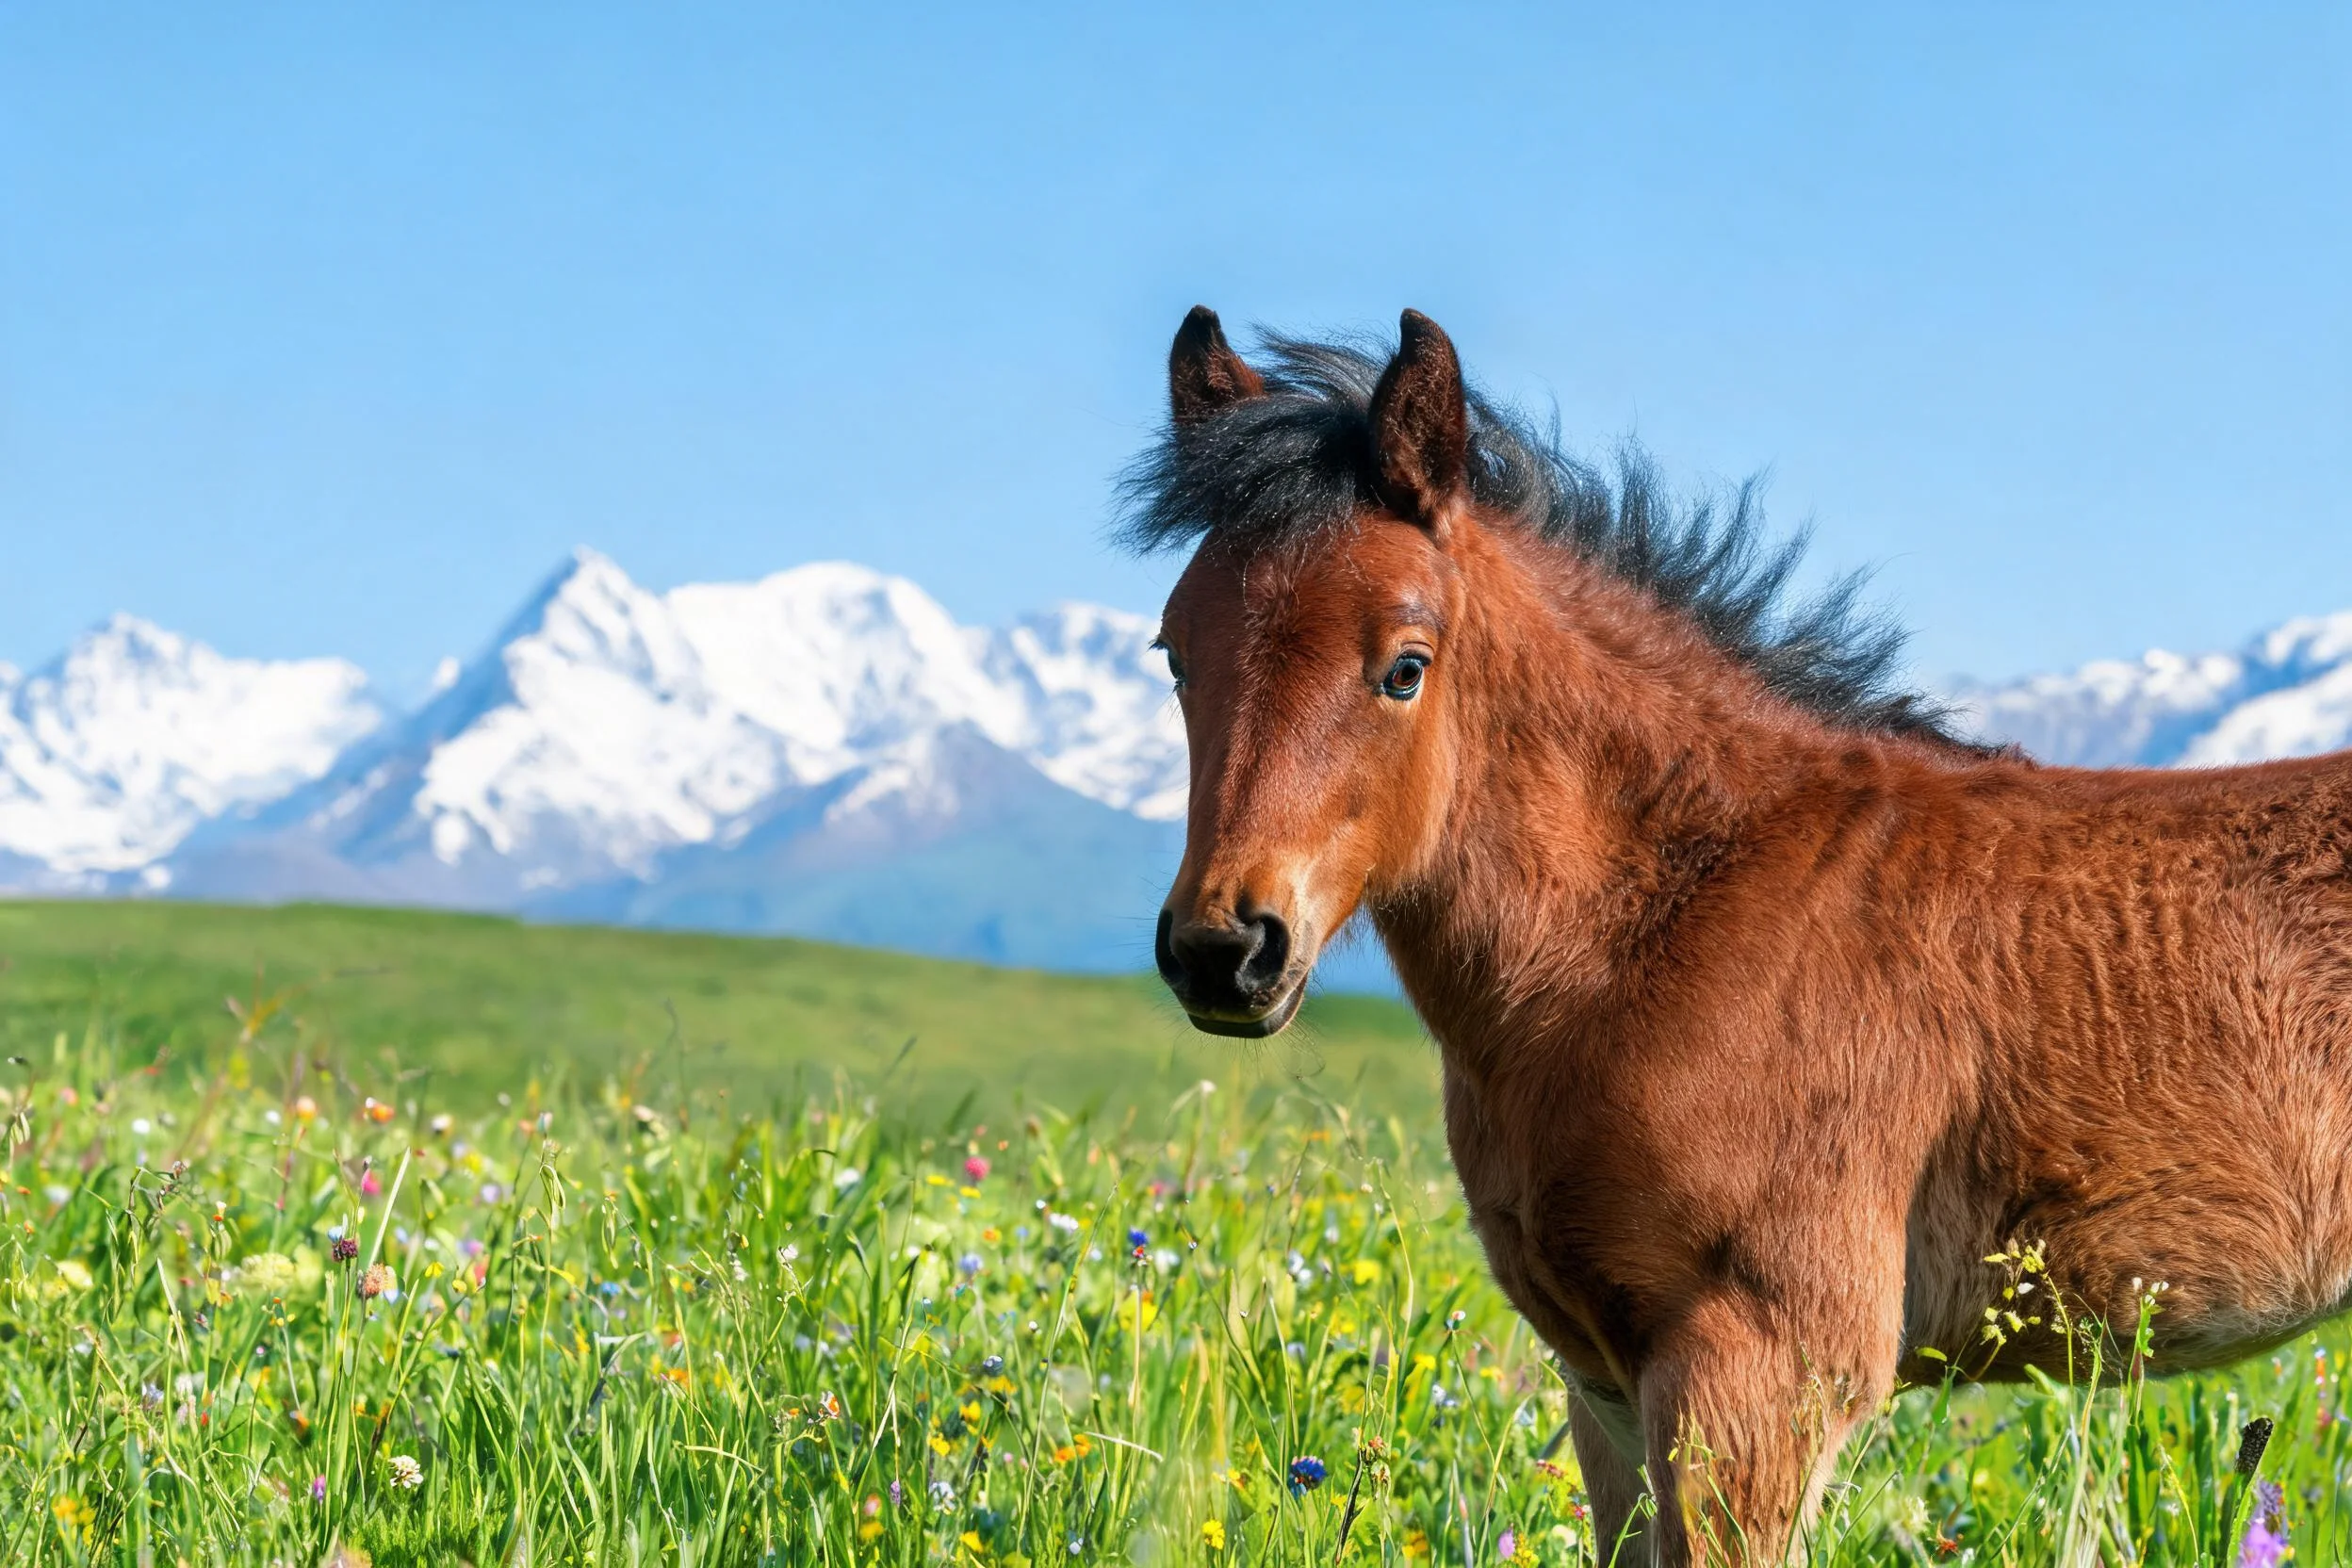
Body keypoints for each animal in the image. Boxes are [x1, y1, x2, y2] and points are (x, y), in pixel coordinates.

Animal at [1123, 306, 2352, 1564]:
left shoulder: (1761, 1367)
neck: (1657, 921)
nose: (1224, 948)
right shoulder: (1604, 1382)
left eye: (1405, 667)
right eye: (1176, 652)